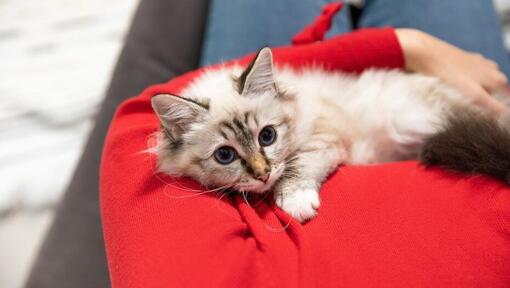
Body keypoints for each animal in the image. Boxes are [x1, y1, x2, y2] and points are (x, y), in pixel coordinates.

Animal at [150, 47, 510, 223]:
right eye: (225, 155)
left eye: (267, 136)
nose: (262, 173)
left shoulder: (326, 135)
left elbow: (299, 166)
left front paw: (294, 201)